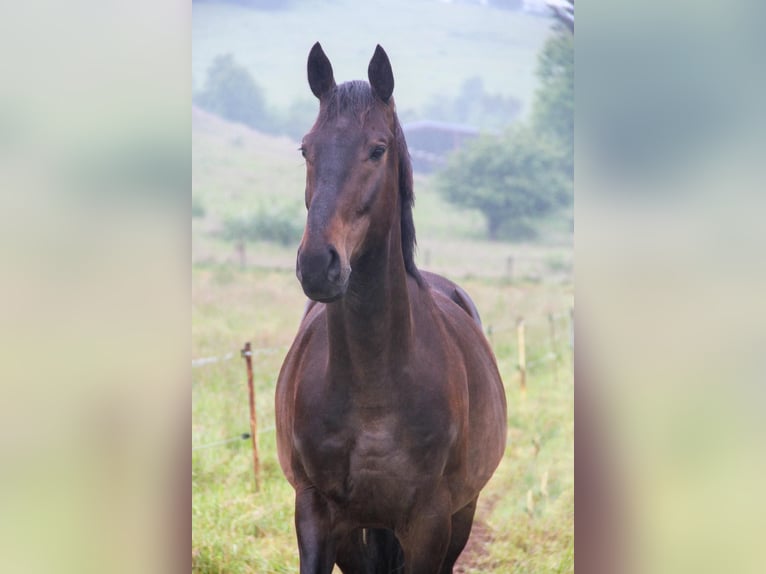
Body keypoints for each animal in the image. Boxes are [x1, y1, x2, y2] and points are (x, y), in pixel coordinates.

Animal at [276, 42, 510, 572]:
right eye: (306, 148)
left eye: (377, 149)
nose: (318, 264)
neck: (374, 387)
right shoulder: (316, 516)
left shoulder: (430, 523)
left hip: (462, 515)